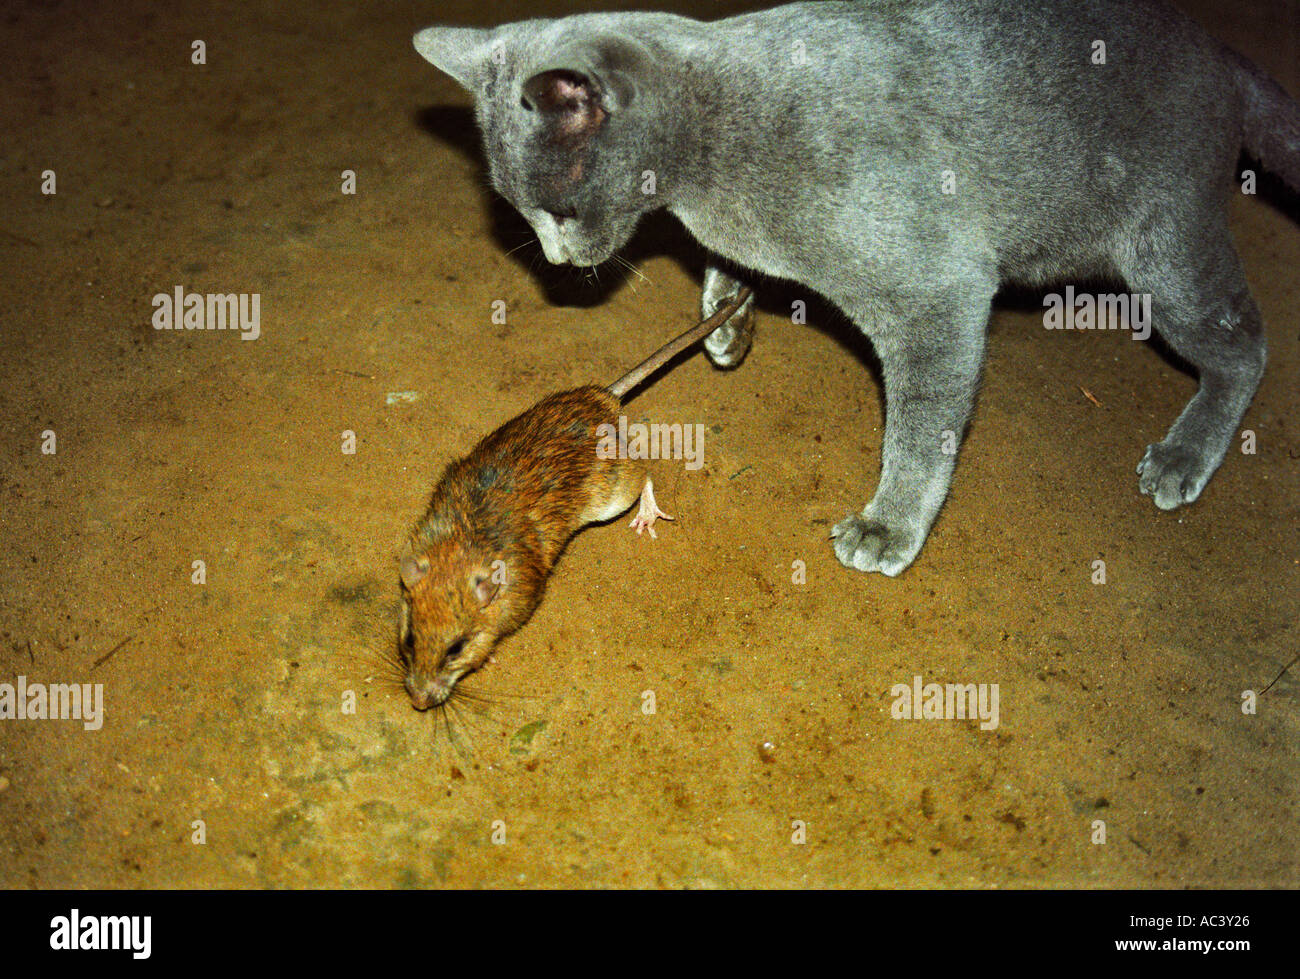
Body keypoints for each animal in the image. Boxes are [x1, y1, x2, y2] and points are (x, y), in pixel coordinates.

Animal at [410, 0, 1294, 577]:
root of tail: (1220, 54)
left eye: (560, 210)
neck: (706, 153)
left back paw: (1184, 456)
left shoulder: (940, 290)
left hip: (1162, 248)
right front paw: (726, 319)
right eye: (520, 210)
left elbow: (921, 432)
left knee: (1245, 344)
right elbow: (732, 271)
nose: (558, 262)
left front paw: (889, 526)